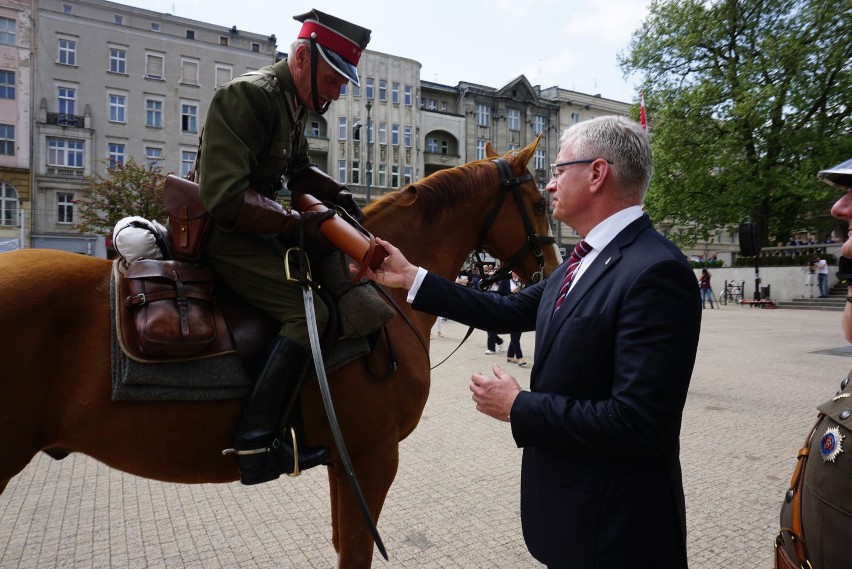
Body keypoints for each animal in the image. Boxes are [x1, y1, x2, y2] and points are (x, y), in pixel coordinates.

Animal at [0, 136, 560, 564]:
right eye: (539, 205)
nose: (552, 271)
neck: (386, 290)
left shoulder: (343, 462)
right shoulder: (372, 456)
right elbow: (355, 553)